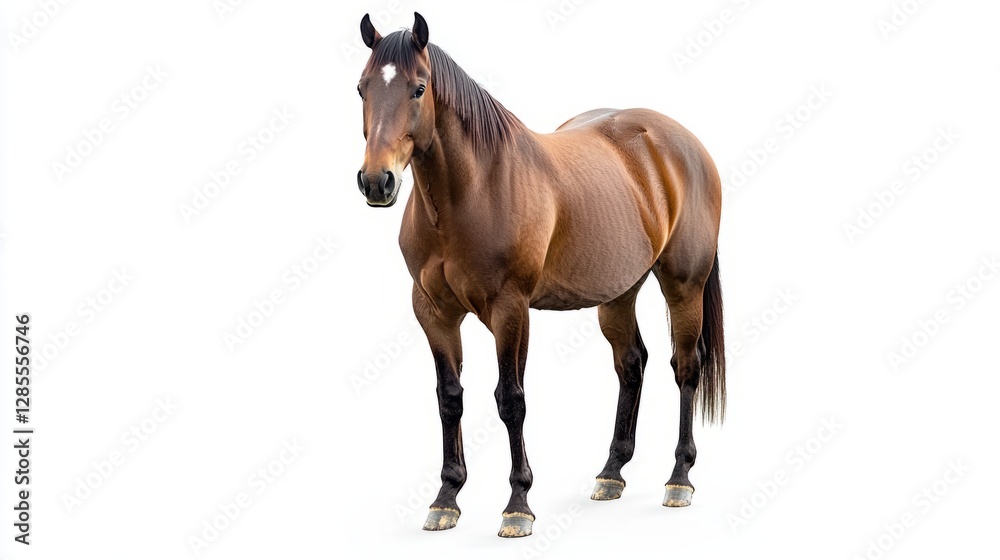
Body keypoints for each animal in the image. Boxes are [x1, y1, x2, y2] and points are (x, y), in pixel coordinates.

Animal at [355, 12, 726, 538]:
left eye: (418, 88)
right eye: (361, 88)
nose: (376, 182)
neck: (475, 189)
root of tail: (685, 144)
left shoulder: (510, 310)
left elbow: (511, 400)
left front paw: (518, 504)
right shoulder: (432, 312)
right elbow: (450, 398)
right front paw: (446, 497)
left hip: (683, 285)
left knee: (686, 368)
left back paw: (679, 478)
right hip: (618, 292)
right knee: (632, 363)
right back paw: (612, 473)